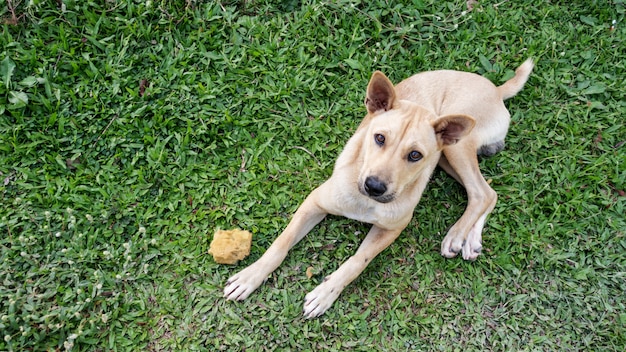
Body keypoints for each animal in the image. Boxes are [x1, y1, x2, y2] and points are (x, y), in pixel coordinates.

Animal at [223, 59, 532, 318]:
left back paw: (457, 235)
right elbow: (281, 243)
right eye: (379, 138)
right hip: (447, 156)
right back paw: (471, 239)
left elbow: (357, 261)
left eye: (415, 155)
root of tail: (495, 89)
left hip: (454, 148)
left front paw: (326, 292)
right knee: (486, 192)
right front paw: (251, 276)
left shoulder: (391, 229)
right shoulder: (315, 202)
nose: (374, 187)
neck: (364, 202)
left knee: (482, 192)